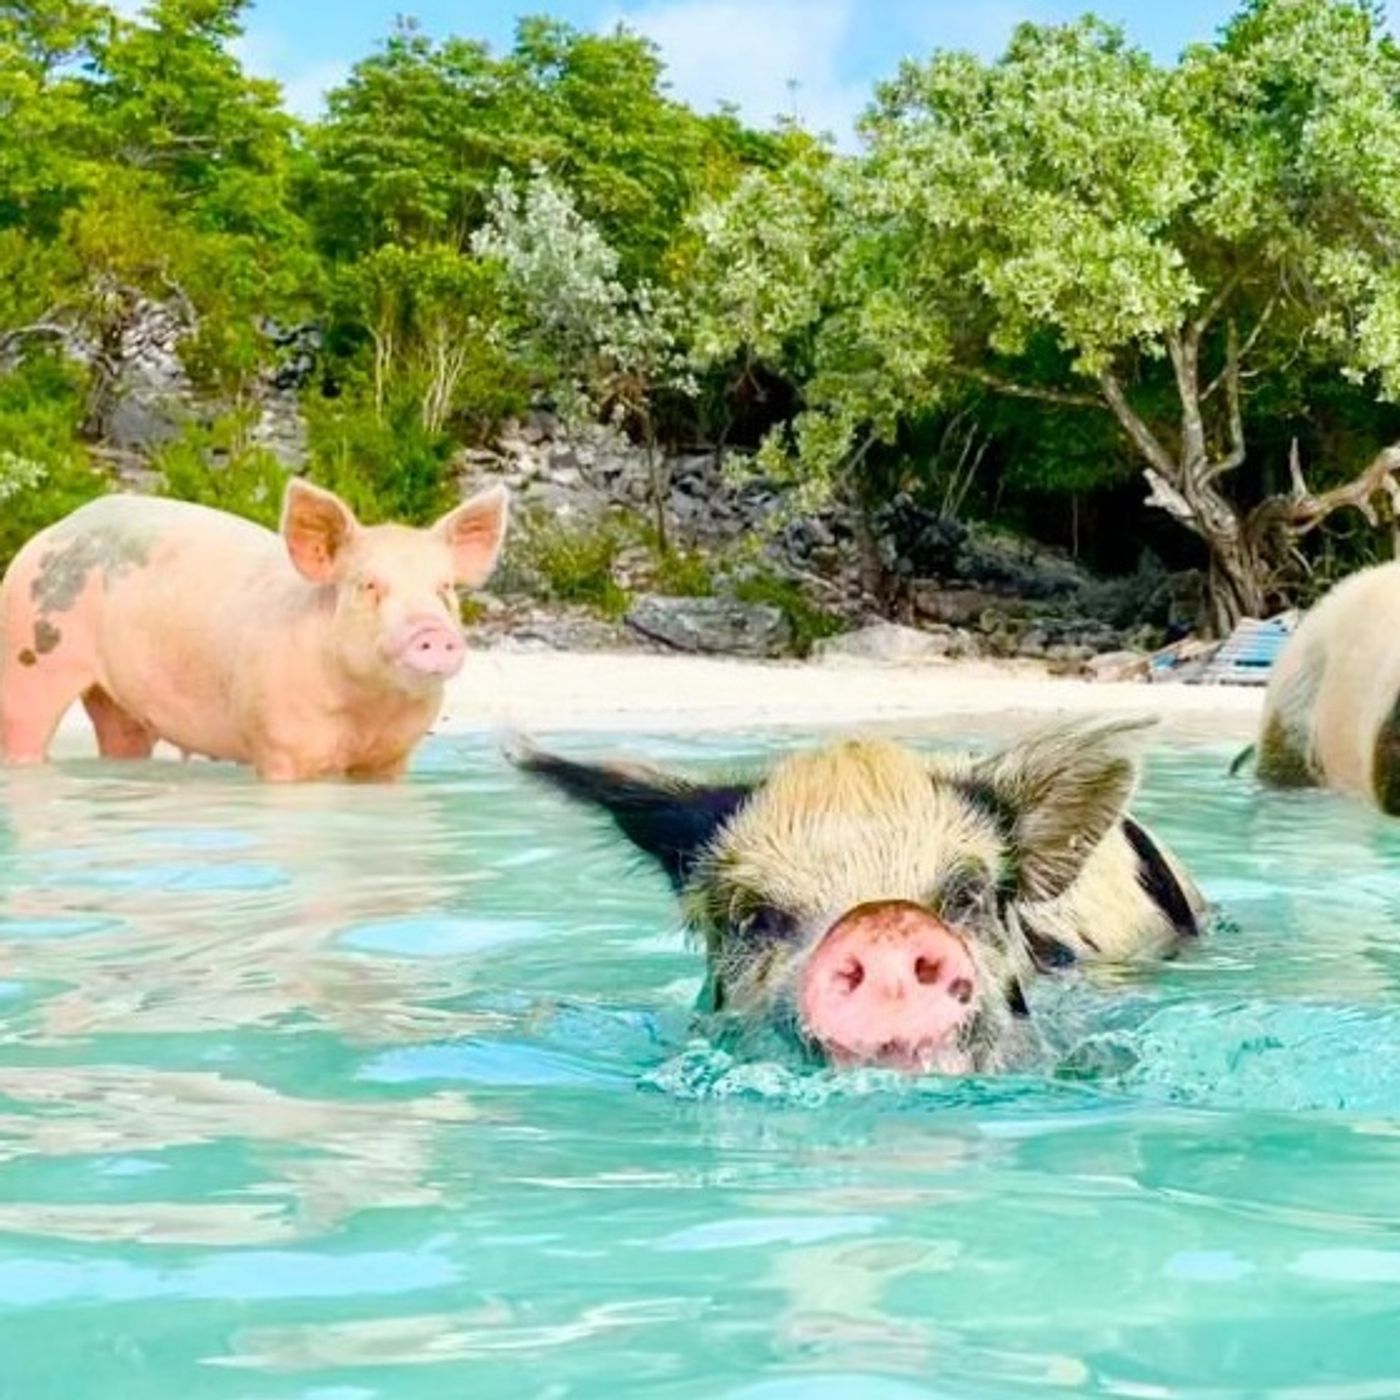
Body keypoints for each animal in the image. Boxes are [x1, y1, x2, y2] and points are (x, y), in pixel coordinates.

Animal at [0, 479, 508, 780]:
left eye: (444, 588)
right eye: (368, 585)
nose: (432, 630)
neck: (366, 708)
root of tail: (57, 526)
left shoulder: (392, 757)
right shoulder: (279, 742)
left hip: (119, 700)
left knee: (122, 737)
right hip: (27, 647)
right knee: (24, 727)